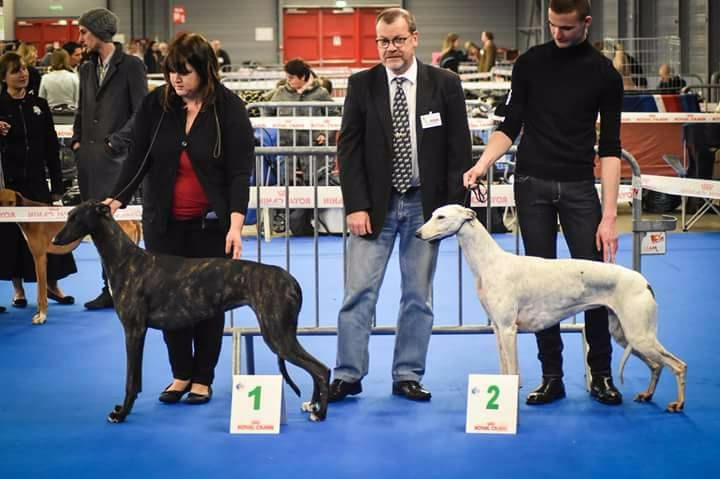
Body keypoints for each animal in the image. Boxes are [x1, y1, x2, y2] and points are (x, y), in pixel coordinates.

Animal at [0, 189, 141, 324]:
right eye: (0, 202)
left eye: (11, 202)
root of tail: (132, 220)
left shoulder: (39, 257)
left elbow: (41, 292)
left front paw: (42, 316)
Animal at [52, 202, 330, 424]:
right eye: (68, 215)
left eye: (75, 218)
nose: (54, 241)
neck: (125, 260)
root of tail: (291, 281)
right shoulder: (138, 332)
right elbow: (136, 379)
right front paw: (123, 409)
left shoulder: (134, 330)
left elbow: (131, 379)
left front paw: (121, 414)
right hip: (281, 334)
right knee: (316, 370)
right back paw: (313, 406)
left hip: (277, 335)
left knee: (321, 370)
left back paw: (320, 413)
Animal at [420, 205, 688, 412]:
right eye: (432, 215)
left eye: (440, 217)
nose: (417, 233)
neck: (490, 262)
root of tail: (644, 282)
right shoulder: (497, 329)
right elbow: (504, 369)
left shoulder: (508, 330)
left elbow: (512, 371)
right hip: (625, 335)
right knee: (657, 365)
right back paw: (647, 395)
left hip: (640, 335)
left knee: (678, 365)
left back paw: (678, 404)